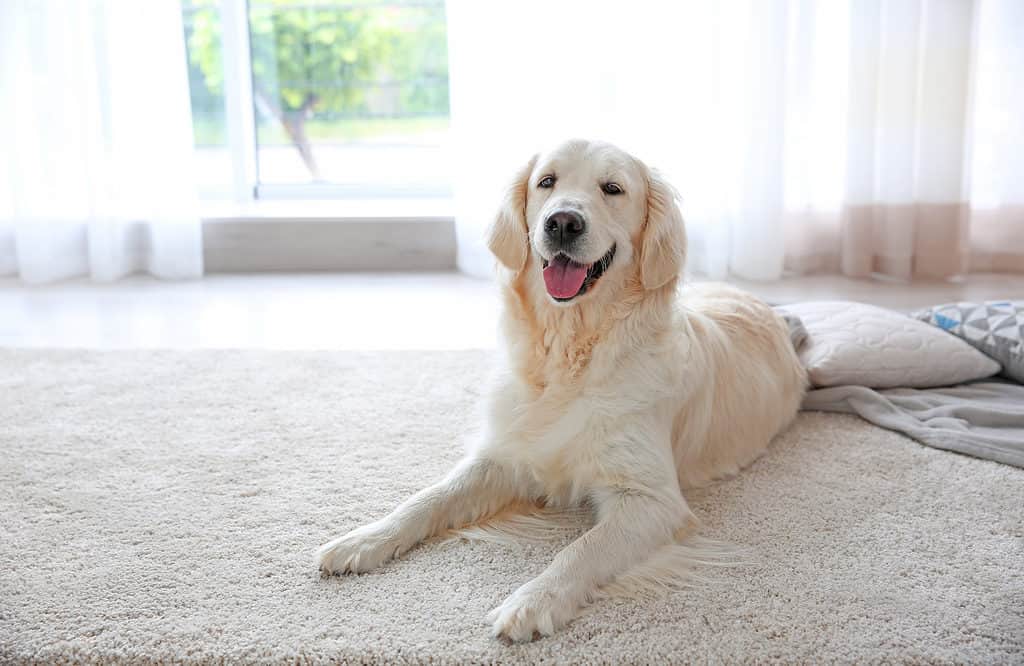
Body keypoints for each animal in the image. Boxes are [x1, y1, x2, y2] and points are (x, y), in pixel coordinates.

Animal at [315, 138, 802, 639]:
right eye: (546, 182)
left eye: (613, 189)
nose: (563, 222)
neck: (569, 352)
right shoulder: (504, 455)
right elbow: (429, 497)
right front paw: (365, 538)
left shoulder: (652, 499)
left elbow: (582, 549)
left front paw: (534, 601)